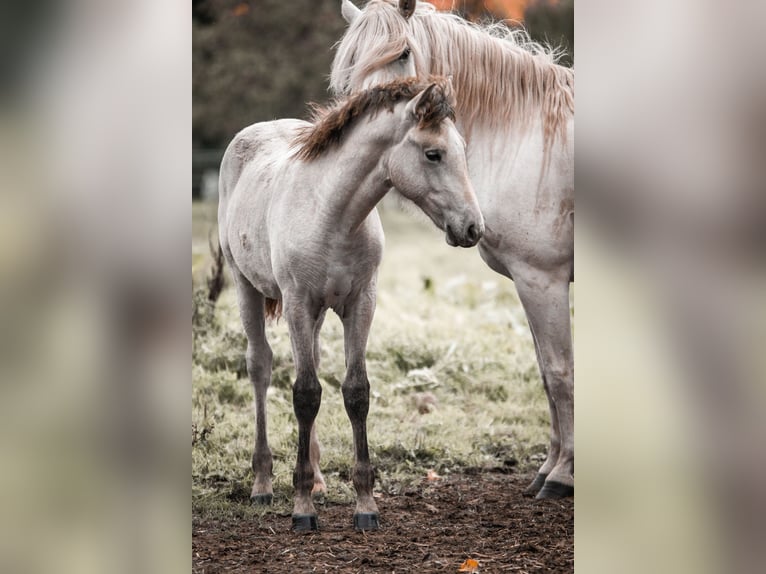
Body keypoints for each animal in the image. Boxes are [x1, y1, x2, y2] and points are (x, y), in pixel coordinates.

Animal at [219, 79, 484, 532]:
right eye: (433, 154)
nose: (473, 228)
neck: (332, 215)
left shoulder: (361, 303)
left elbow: (355, 391)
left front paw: (364, 505)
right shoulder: (297, 303)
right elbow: (305, 394)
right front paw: (302, 508)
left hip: (319, 313)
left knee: (310, 362)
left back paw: (318, 478)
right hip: (245, 286)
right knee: (260, 366)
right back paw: (263, 484)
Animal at [332, 0, 572, 500]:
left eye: (403, 52)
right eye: (349, 64)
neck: (526, 136)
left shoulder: (544, 279)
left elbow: (561, 373)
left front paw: (562, 477)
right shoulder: (529, 283)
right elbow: (545, 372)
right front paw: (547, 469)